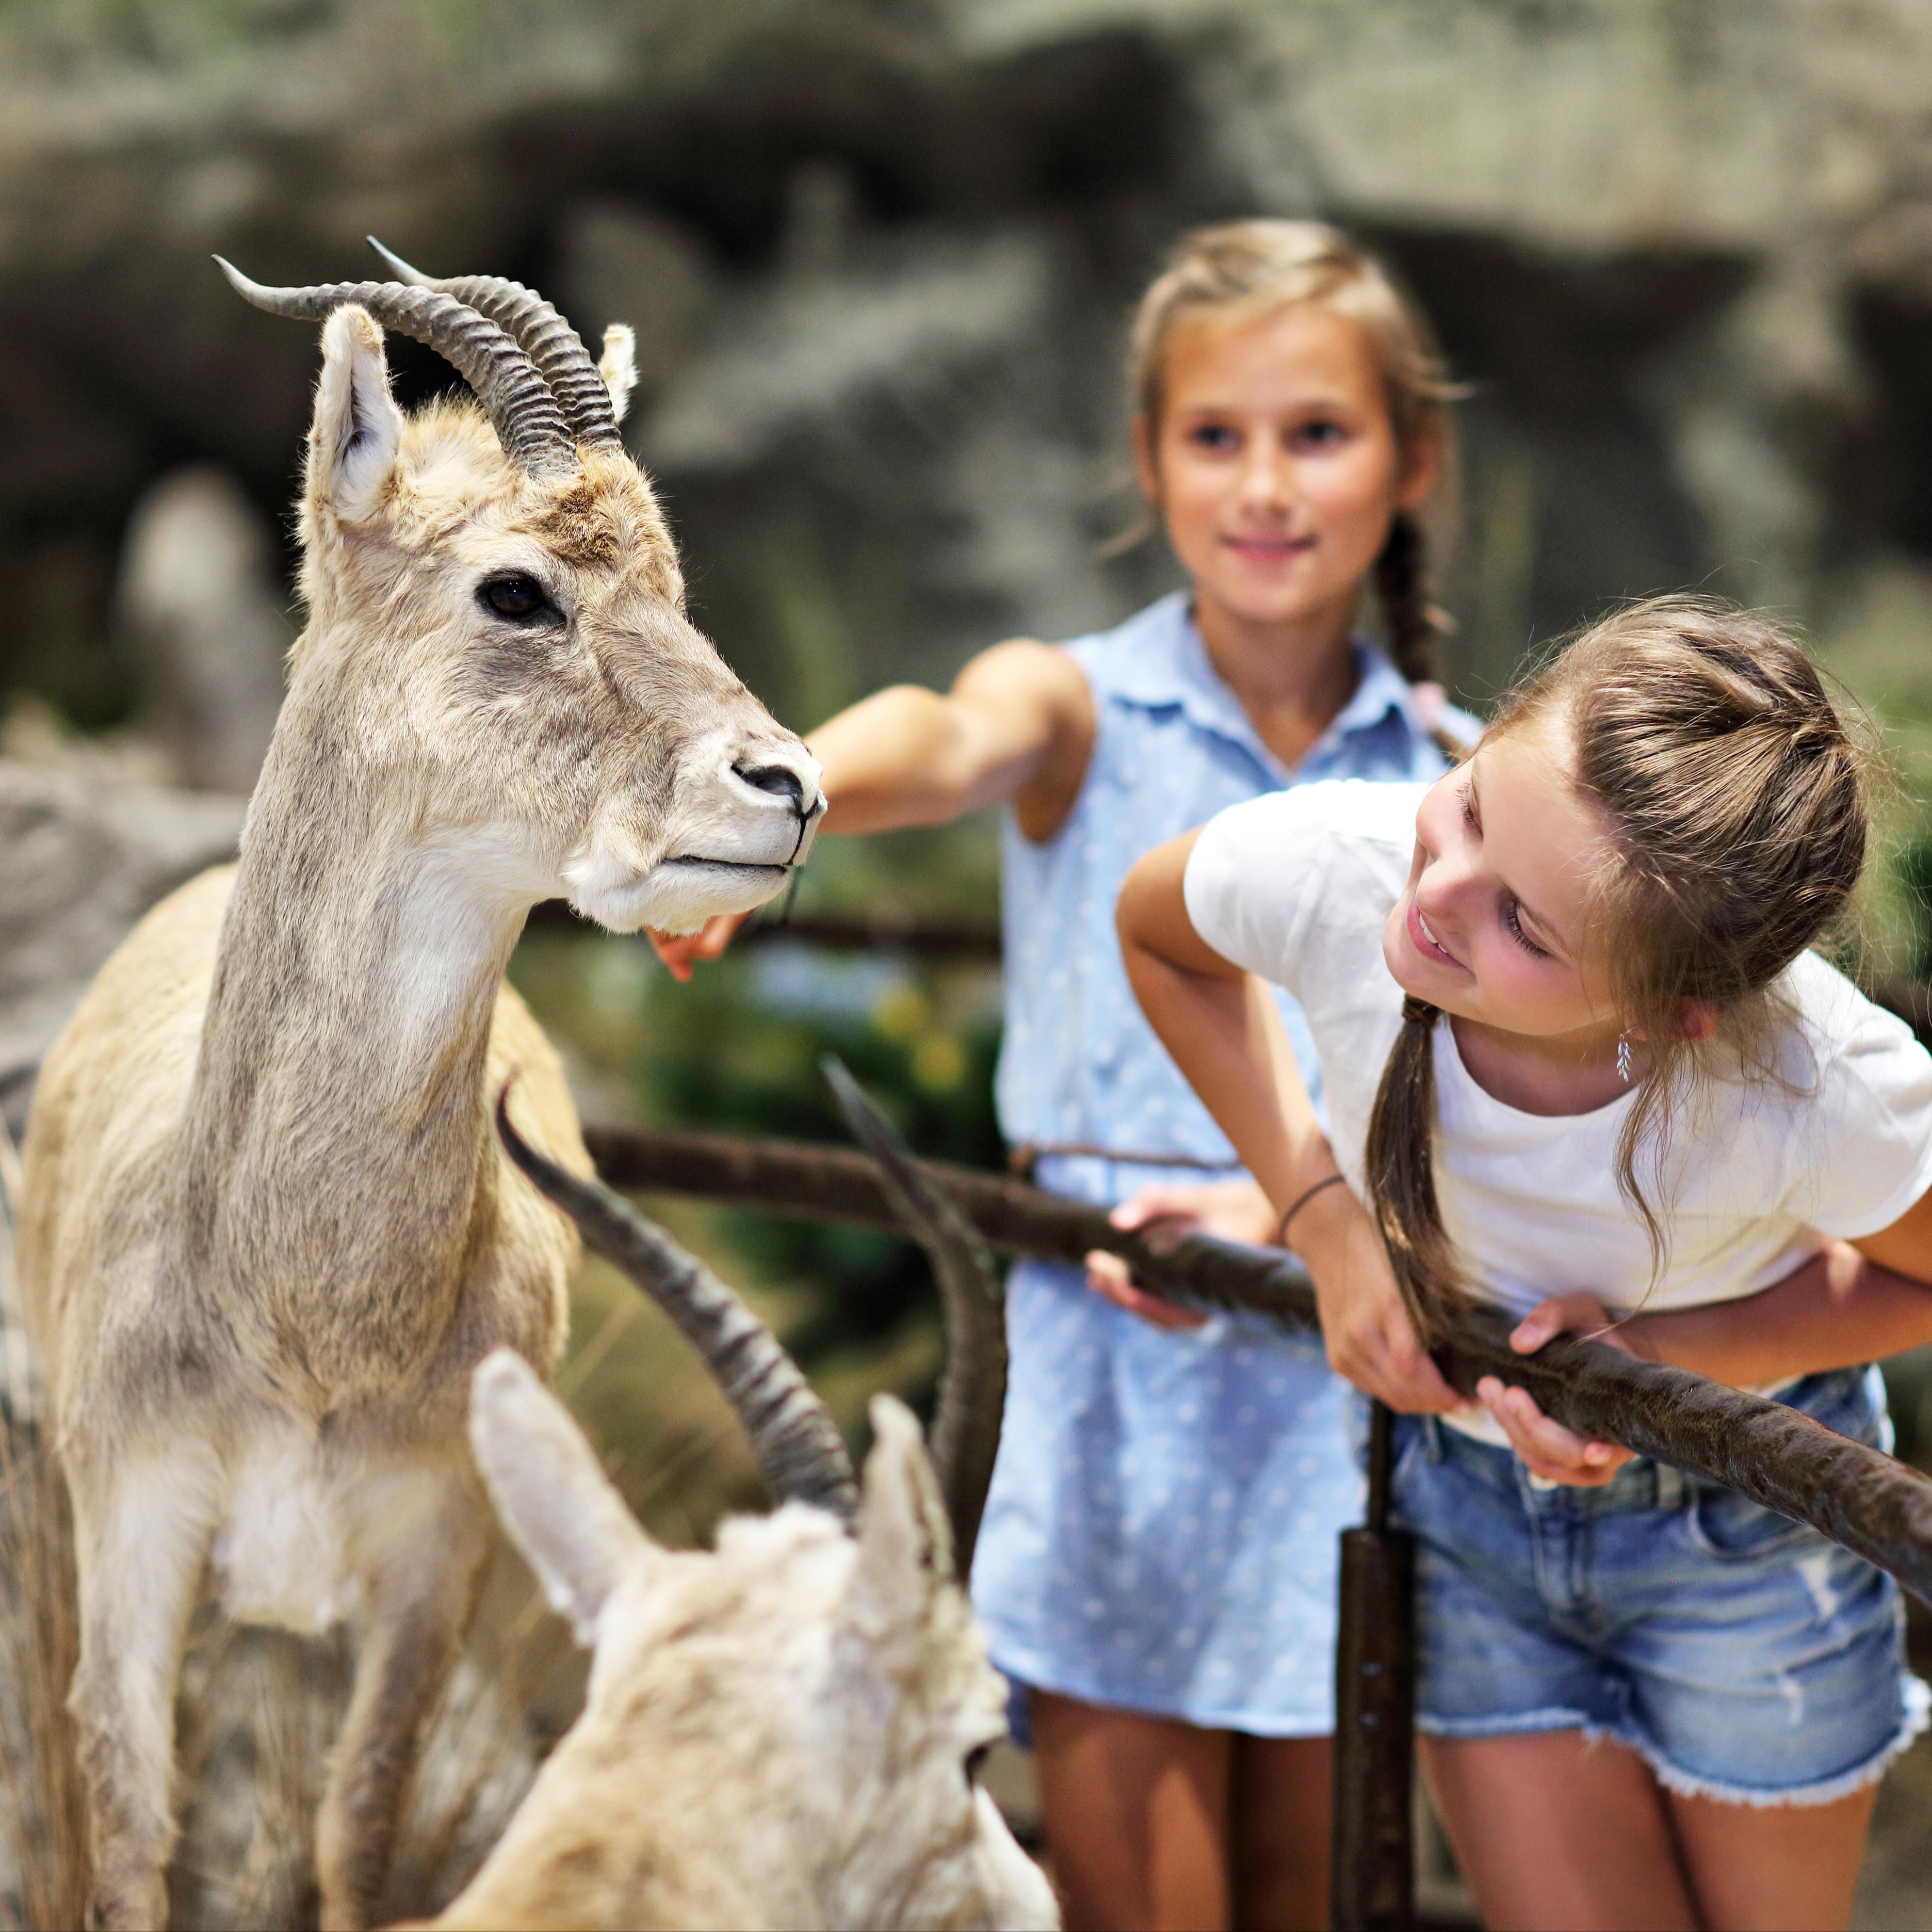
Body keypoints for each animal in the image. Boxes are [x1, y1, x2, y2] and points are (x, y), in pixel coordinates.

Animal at [21, 245, 823, 1932]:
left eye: (675, 581)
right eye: (513, 585)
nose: (786, 786)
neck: (298, 1322)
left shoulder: (431, 1559)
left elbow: (357, 1836)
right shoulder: (132, 1537)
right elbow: (132, 1837)